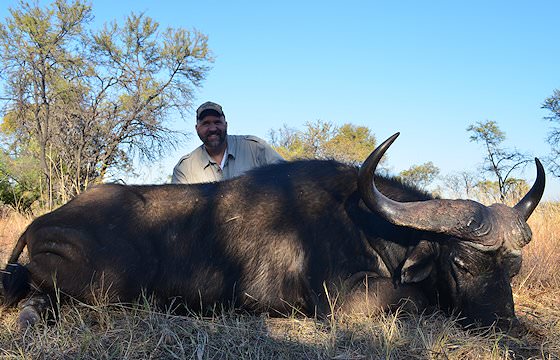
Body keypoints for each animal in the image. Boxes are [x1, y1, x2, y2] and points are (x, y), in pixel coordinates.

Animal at [0, 131, 544, 330]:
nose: (506, 324)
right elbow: (418, 301)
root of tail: (42, 223)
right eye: (462, 262)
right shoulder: (346, 302)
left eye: (512, 268)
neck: (370, 224)